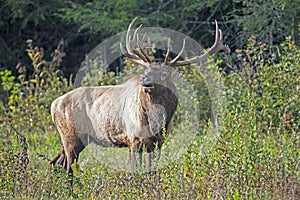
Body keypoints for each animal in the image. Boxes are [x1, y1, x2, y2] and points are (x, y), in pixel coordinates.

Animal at [49, 18, 230, 174]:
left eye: (164, 73)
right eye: (146, 69)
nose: (145, 81)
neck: (156, 121)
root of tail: (53, 105)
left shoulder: (158, 142)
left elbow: (152, 170)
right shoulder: (133, 139)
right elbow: (136, 169)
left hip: (72, 139)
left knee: (57, 162)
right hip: (71, 137)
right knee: (68, 167)